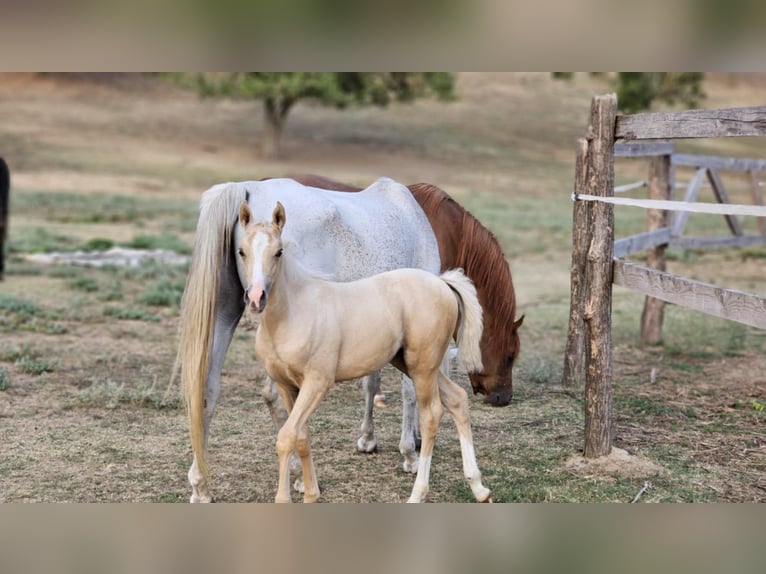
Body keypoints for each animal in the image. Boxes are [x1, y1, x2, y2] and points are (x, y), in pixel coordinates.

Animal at [178, 177, 444, 504]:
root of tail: (246, 186)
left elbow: (371, 380)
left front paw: (368, 439)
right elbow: (409, 390)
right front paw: (409, 454)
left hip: (224, 311)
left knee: (207, 391)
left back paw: (201, 486)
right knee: (277, 400)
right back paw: (298, 477)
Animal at [237, 202, 492, 504]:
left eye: (279, 251)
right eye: (241, 251)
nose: (256, 298)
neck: (293, 312)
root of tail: (442, 283)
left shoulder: (317, 382)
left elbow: (287, 437)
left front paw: (285, 498)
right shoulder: (287, 386)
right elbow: (302, 436)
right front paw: (311, 494)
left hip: (423, 367)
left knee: (431, 415)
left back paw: (417, 493)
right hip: (409, 363)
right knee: (458, 399)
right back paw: (479, 488)